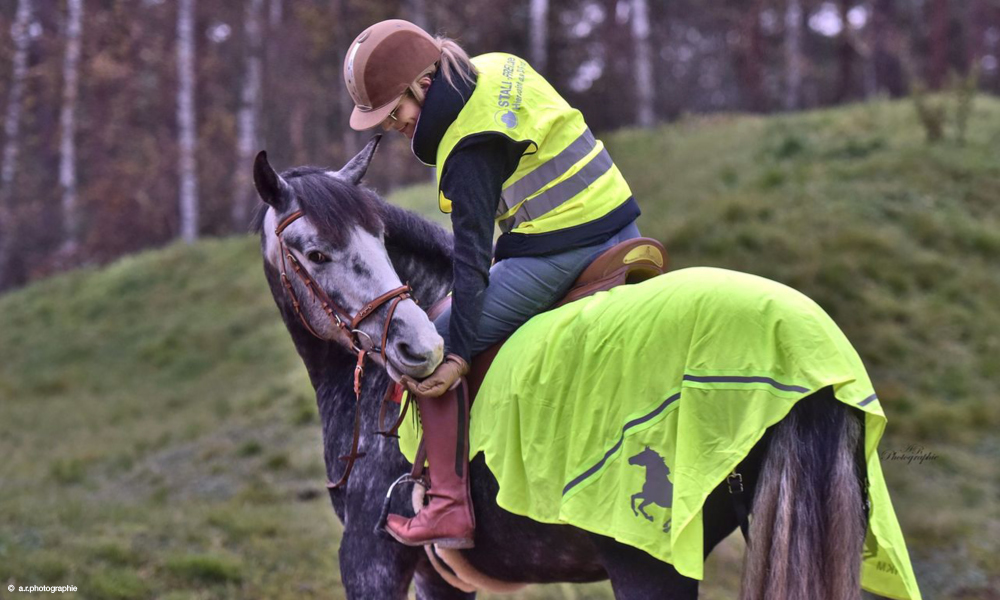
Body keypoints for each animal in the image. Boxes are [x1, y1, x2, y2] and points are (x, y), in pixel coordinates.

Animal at [252, 138, 868, 600]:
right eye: (316, 253)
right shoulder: (438, 578)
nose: (420, 347)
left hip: (647, 562)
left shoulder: (371, 559)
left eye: (379, 240)